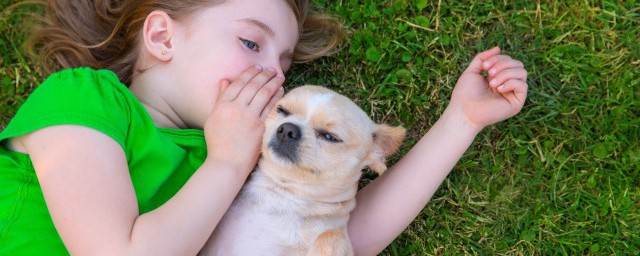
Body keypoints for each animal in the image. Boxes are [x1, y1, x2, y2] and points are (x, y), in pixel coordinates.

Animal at [200, 85, 404, 254]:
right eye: (282, 110)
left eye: (330, 137)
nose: (287, 129)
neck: (282, 195)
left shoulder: (335, 235)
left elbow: (332, 235)